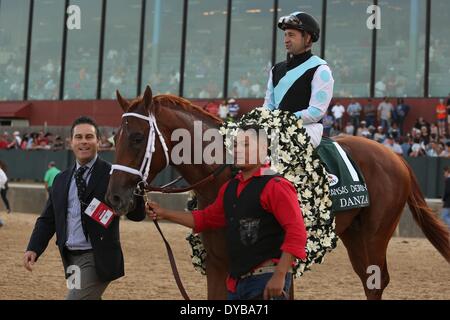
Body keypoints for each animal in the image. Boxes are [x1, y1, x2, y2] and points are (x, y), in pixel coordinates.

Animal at [106, 85, 450, 300]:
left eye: (137, 138)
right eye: (114, 138)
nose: (114, 197)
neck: (228, 173)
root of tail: (395, 157)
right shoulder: (218, 265)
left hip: (376, 235)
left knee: (375, 282)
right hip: (354, 235)